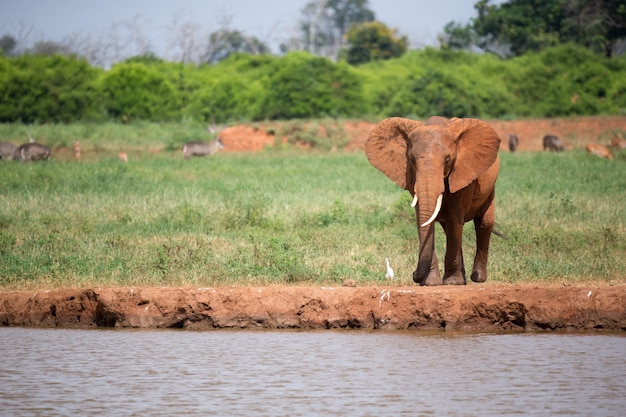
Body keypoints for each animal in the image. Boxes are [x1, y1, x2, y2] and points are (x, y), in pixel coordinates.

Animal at [364, 117, 500, 286]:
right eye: (411, 160)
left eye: (447, 159)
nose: (414, 274)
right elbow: (424, 221)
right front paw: (431, 283)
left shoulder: (463, 174)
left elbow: (455, 219)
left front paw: (452, 283)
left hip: (490, 188)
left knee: (484, 224)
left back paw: (477, 278)